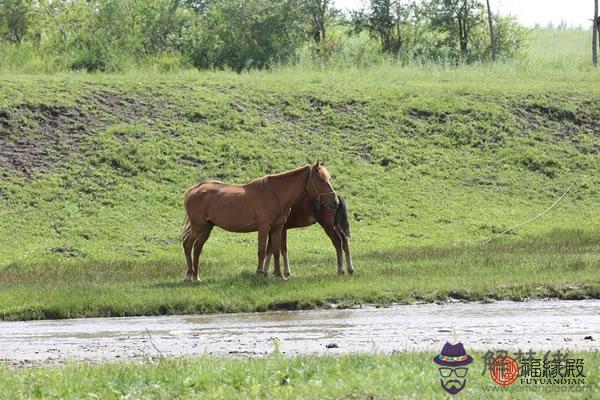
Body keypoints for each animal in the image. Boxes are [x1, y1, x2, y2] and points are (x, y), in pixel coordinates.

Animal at [180, 162, 338, 282]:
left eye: (329, 178)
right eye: (321, 180)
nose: (335, 203)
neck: (276, 194)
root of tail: (193, 190)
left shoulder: (277, 228)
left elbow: (276, 251)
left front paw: (279, 275)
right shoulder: (264, 227)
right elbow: (261, 251)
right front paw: (260, 273)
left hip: (206, 228)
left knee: (197, 249)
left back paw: (196, 277)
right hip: (197, 227)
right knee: (188, 245)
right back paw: (189, 276)